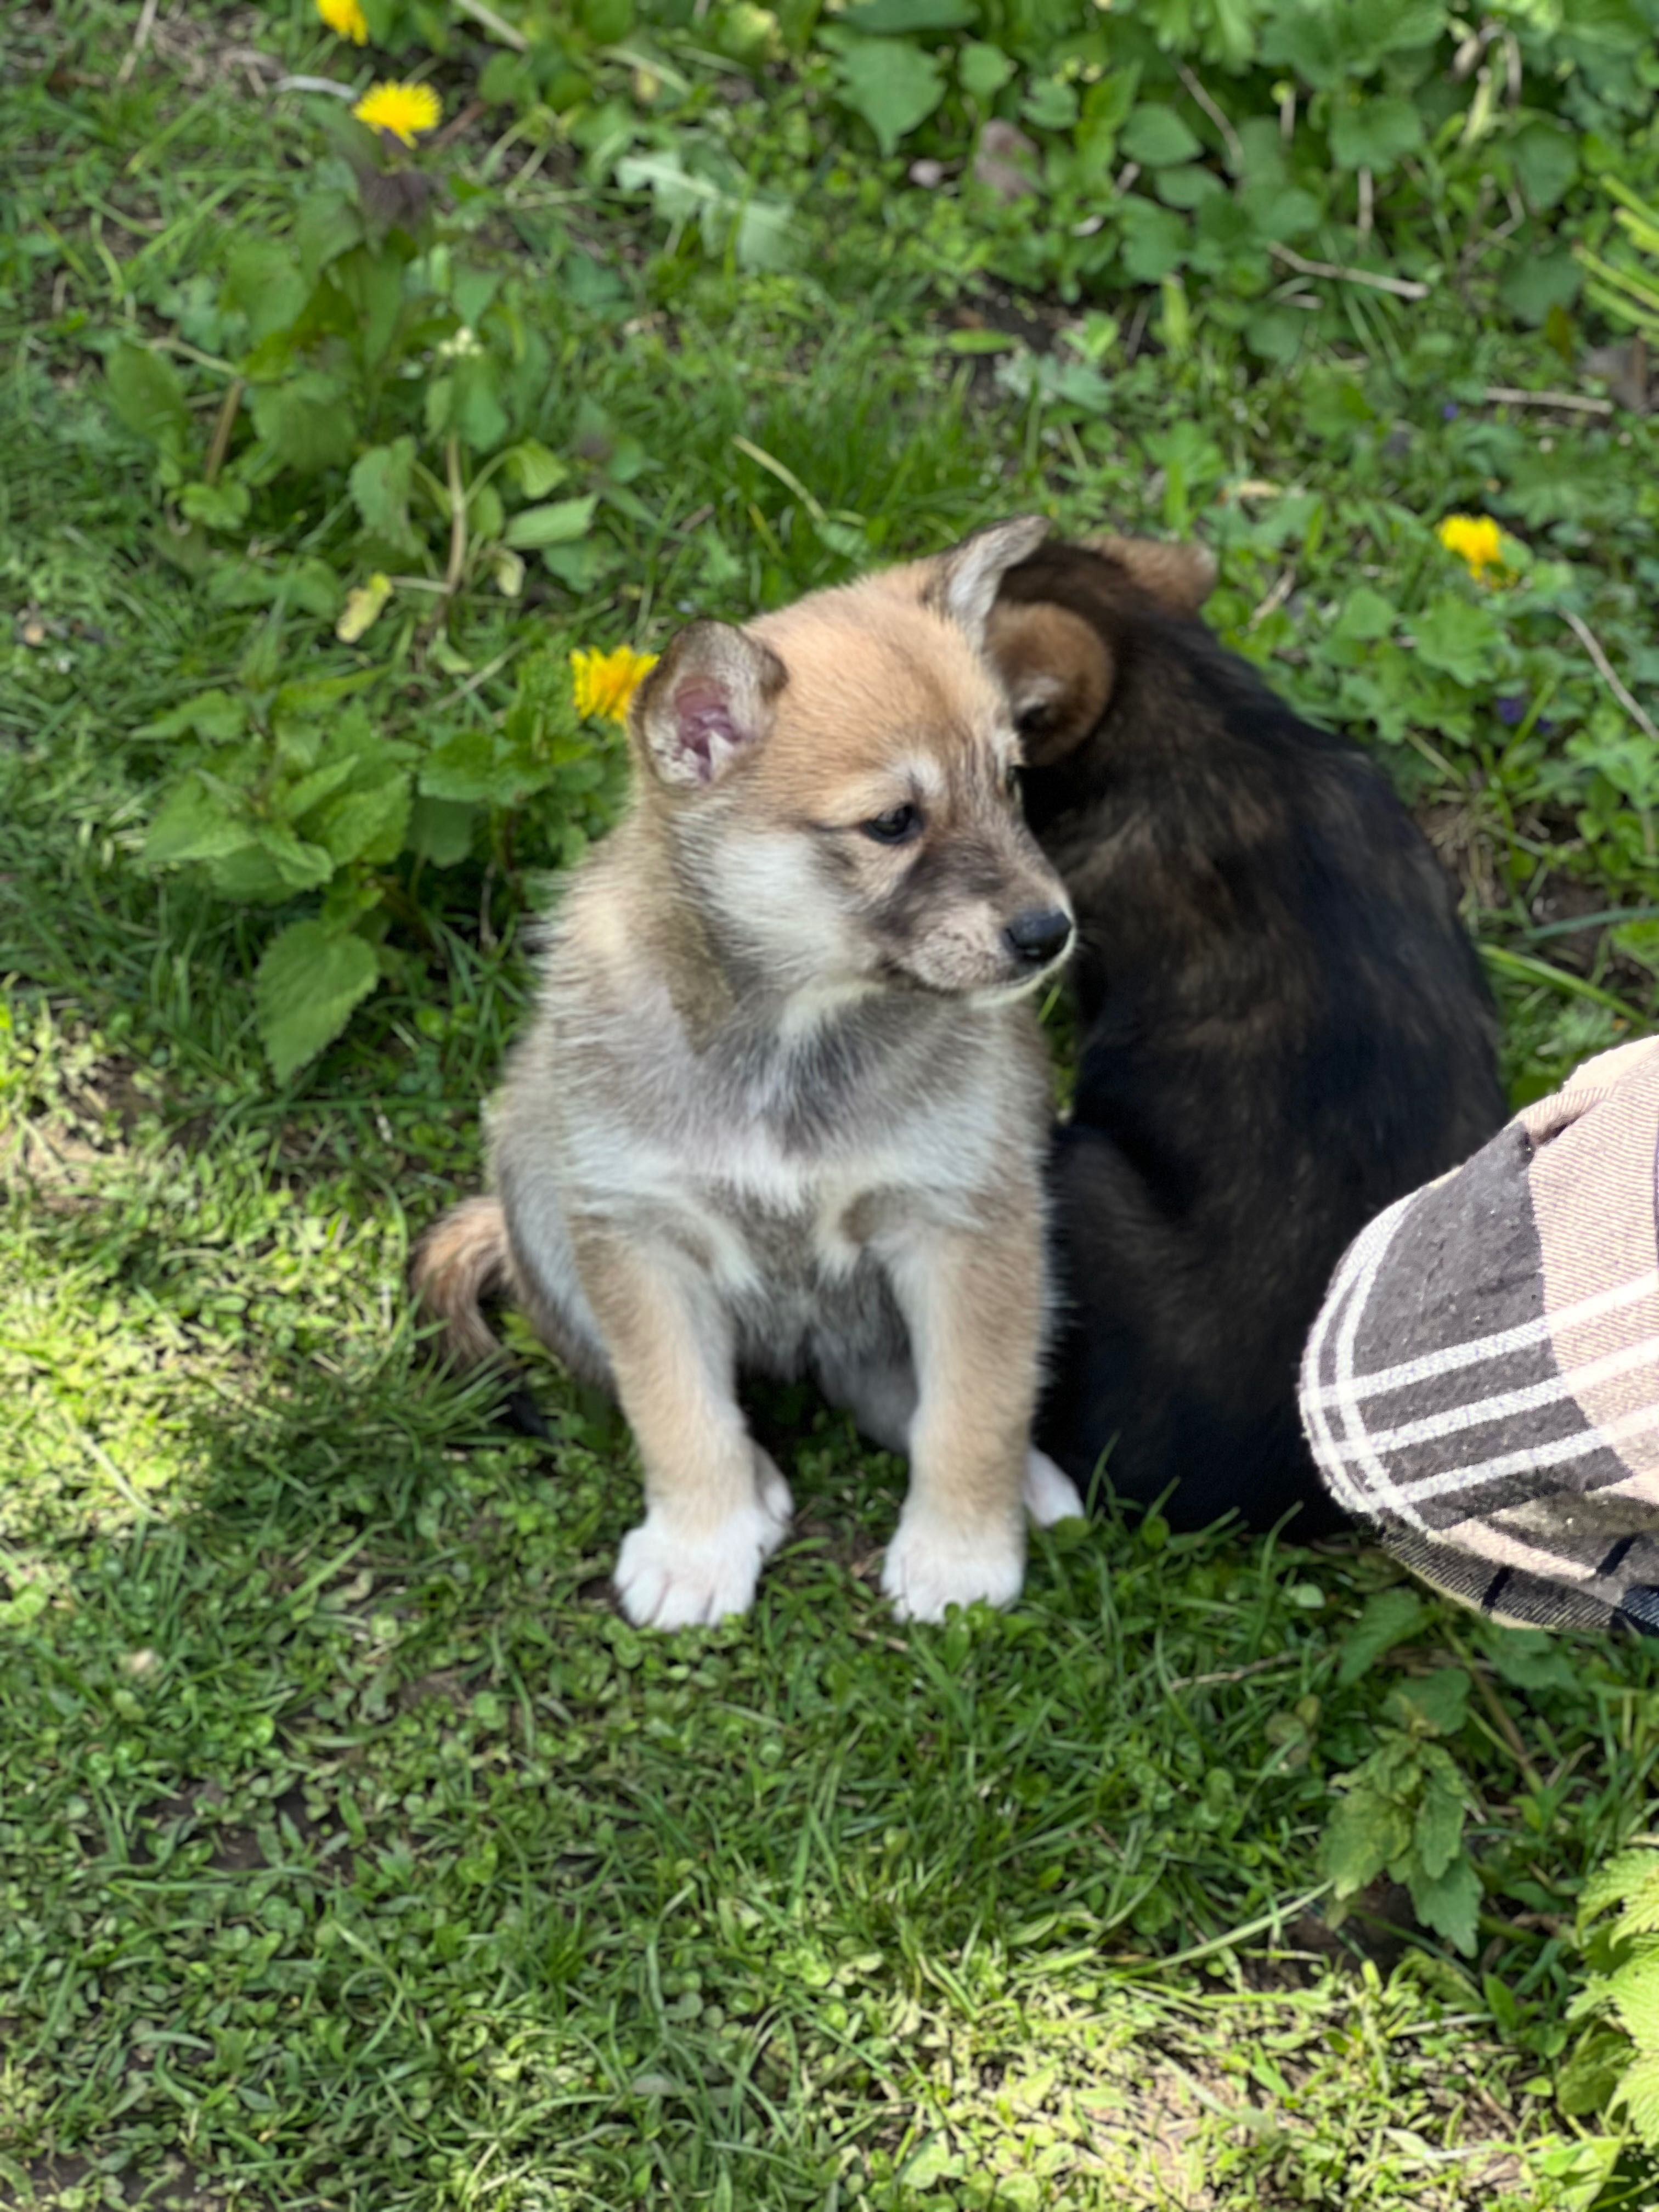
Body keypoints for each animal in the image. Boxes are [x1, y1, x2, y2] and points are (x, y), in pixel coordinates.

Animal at [422, 517, 1084, 1628]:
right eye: (892, 822)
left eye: (1009, 782)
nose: (1049, 933)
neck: (791, 1035)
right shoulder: (641, 1235)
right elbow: (676, 1408)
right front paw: (700, 1545)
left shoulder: (962, 1224)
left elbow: (974, 1404)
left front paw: (957, 1554)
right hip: (542, 1202)